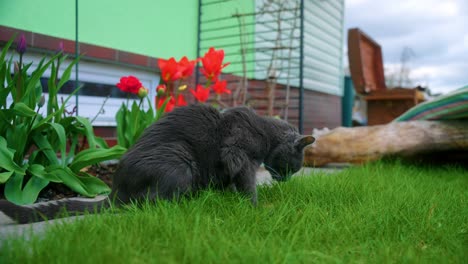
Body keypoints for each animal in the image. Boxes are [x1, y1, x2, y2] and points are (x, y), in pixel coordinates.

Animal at [0, 104, 314, 222]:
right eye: (292, 167)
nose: (285, 180)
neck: (264, 132)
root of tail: (115, 191)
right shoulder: (237, 155)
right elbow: (248, 184)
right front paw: (255, 208)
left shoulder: (229, 166)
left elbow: (232, 184)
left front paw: (229, 199)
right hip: (179, 160)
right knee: (147, 203)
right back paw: (189, 206)